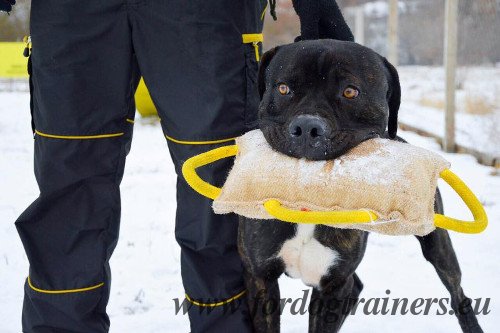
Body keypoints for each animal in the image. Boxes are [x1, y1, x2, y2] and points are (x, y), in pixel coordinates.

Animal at [238, 39, 484, 332]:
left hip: (438, 244)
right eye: (284, 88)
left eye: (350, 91)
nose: (307, 127)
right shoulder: (260, 278)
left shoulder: (333, 286)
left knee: (457, 291)